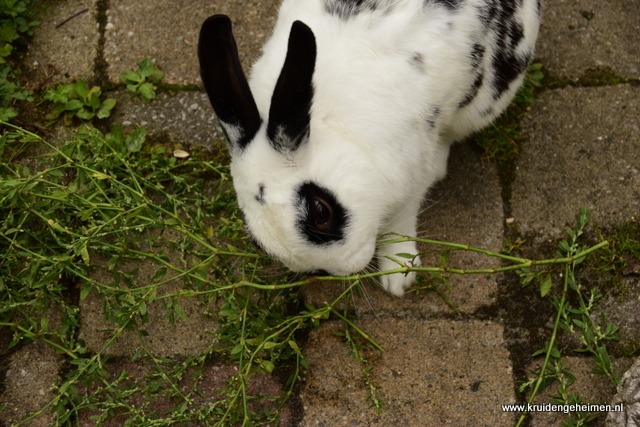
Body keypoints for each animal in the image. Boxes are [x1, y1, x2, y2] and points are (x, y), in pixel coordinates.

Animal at [199, 0, 540, 296]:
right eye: (255, 238)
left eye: (321, 213)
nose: (332, 272)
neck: (331, 129)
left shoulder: (410, 176)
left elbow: (400, 221)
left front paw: (398, 273)